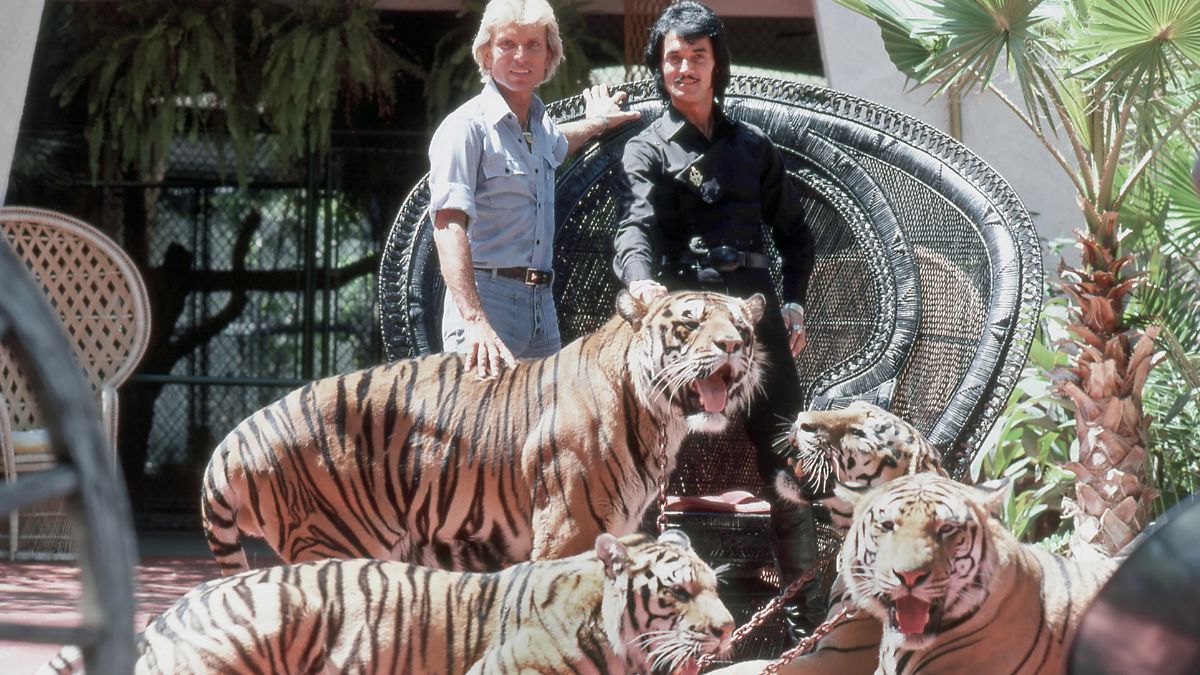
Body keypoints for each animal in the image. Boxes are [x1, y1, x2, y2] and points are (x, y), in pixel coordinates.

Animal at [201, 289, 763, 571]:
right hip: (334, 543)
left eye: (741, 327)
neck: (659, 417)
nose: (732, 346)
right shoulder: (568, 530)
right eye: (690, 324)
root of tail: (235, 438)